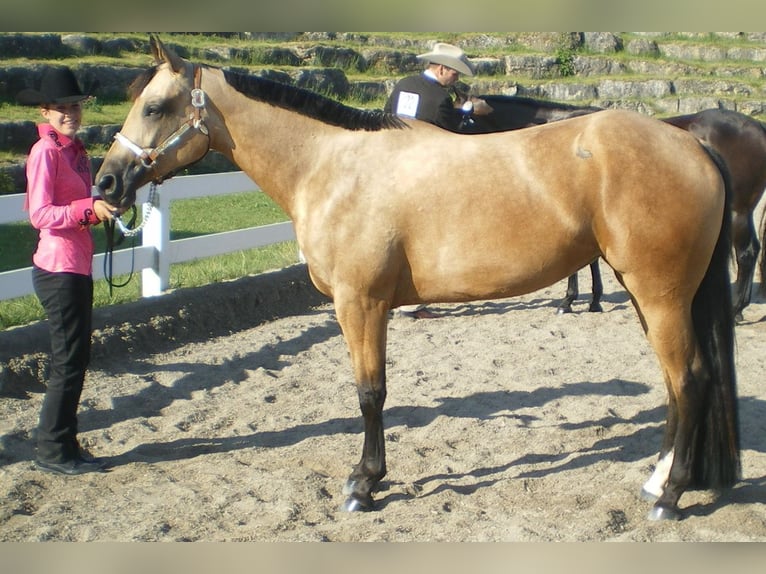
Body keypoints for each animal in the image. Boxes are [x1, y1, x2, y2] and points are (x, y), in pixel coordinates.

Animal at [464, 94, 766, 320]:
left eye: (463, 119)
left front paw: (569, 301)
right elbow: (590, 259)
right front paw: (593, 299)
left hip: (739, 212)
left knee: (747, 253)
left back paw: (736, 309)